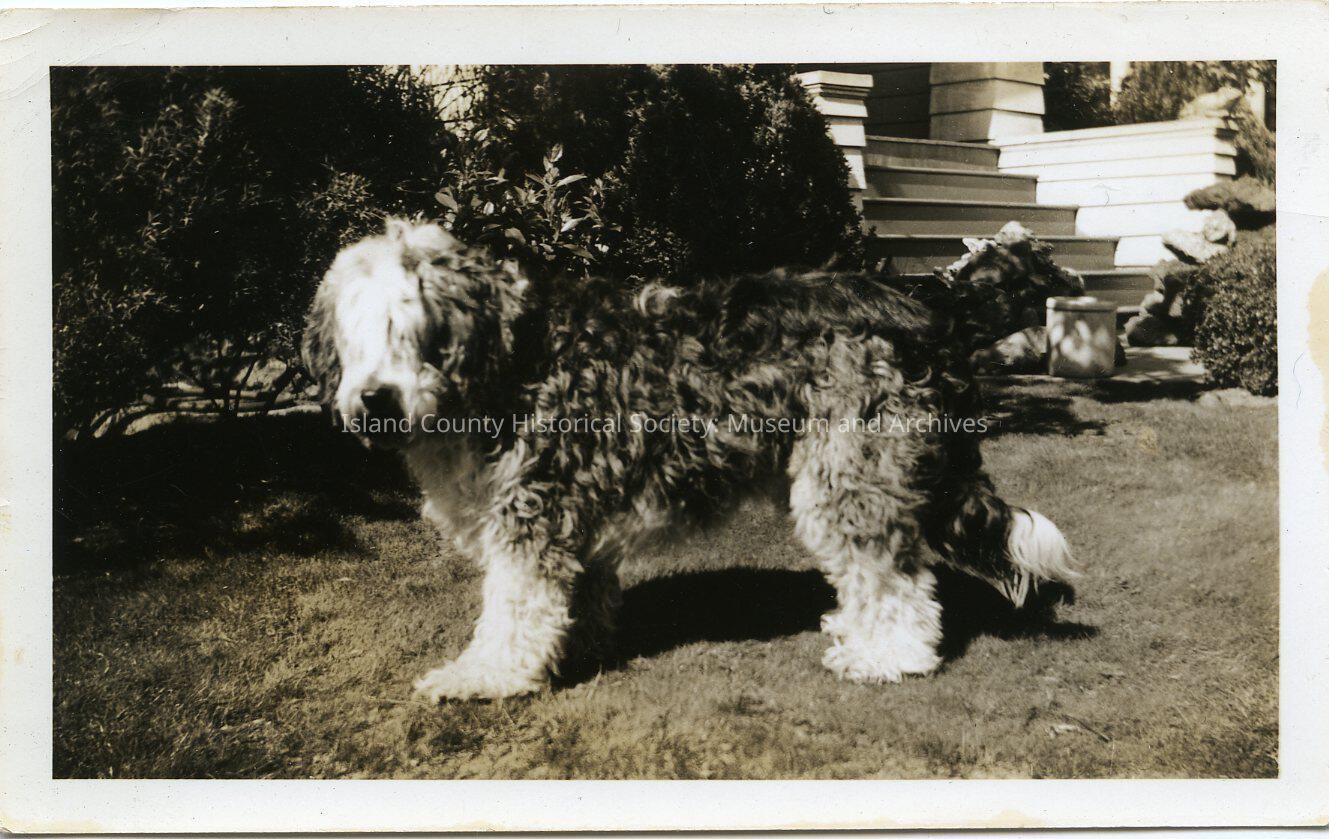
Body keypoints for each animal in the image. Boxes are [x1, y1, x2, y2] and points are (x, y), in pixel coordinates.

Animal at [302, 218, 1076, 702]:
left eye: (417, 328)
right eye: (356, 331)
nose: (374, 400)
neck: (508, 360)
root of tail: (929, 303)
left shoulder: (532, 511)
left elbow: (513, 610)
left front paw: (484, 676)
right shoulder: (575, 509)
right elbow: (579, 594)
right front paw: (578, 647)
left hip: (851, 471)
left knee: (895, 574)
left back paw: (886, 657)